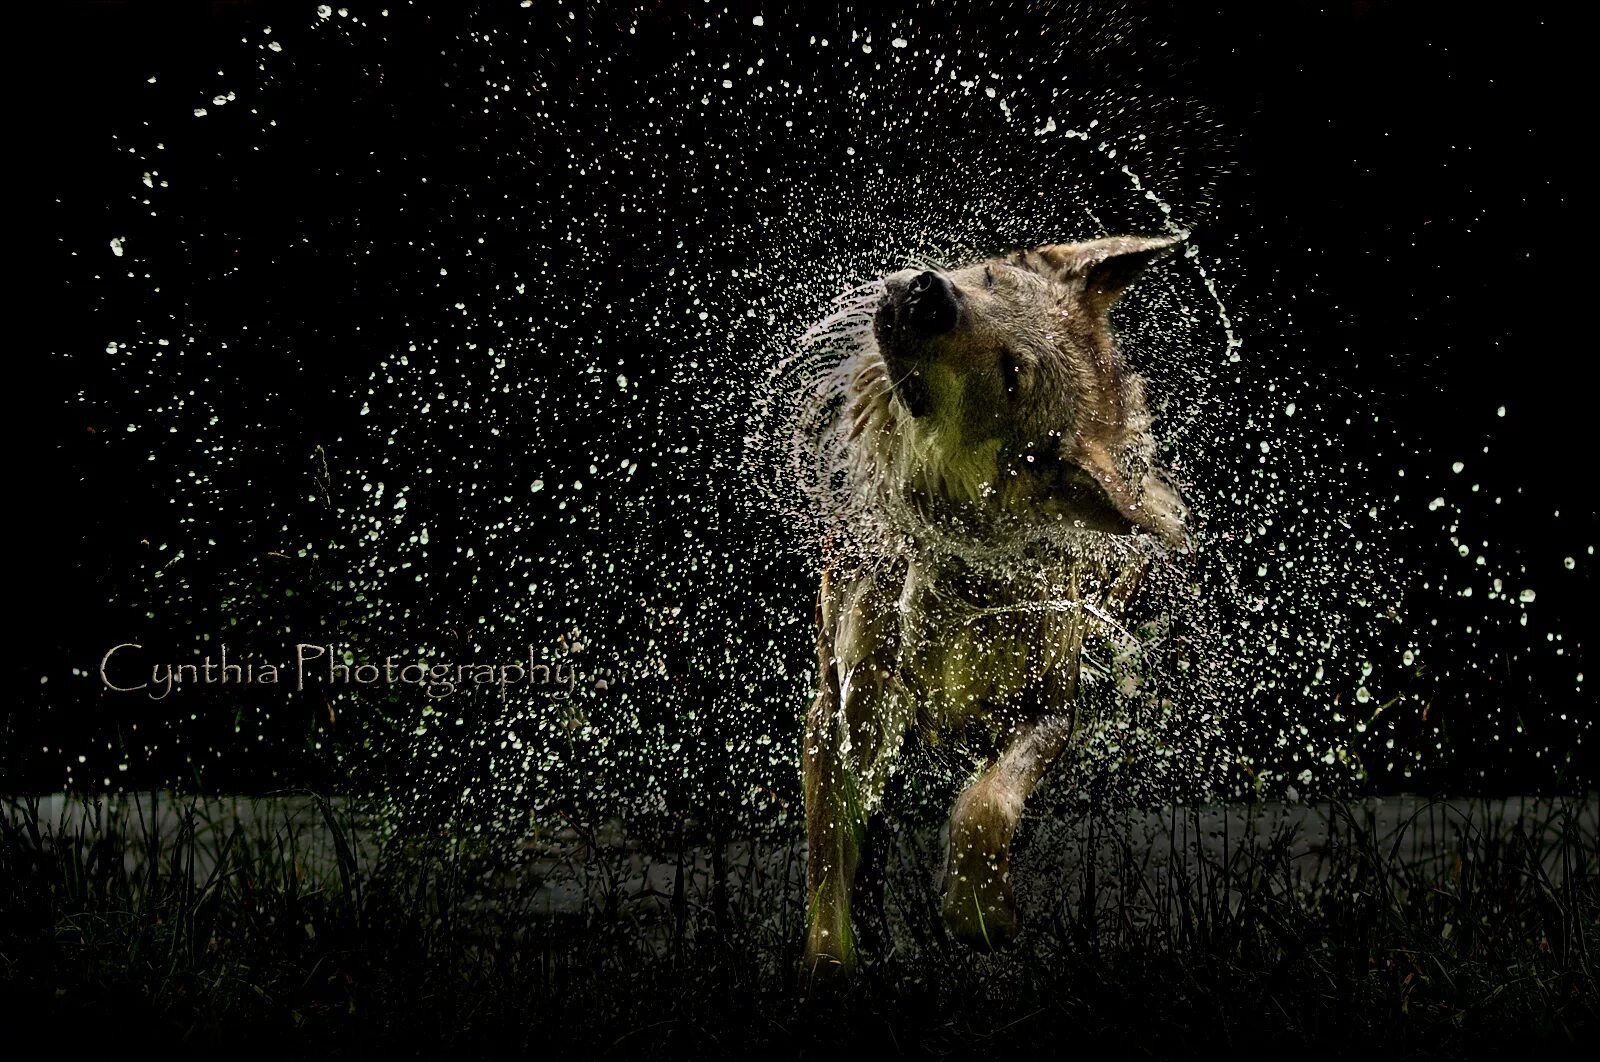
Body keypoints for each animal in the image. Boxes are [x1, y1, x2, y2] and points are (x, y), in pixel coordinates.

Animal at [800, 235, 1190, 978]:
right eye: (987, 275)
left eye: (1013, 376)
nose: (930, 292)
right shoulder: (850, 704)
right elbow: (833, 859)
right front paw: (831, 963)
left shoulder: (1049, 708)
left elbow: (988, 805)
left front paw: (979, 912)